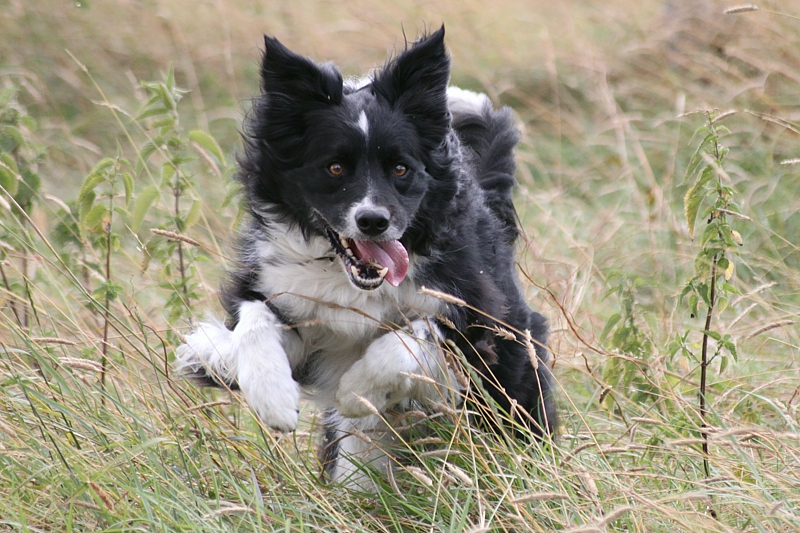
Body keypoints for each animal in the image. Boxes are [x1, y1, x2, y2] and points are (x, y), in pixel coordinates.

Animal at [177, 28, 556, 486]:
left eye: (401, 169)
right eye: (335, 168)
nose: (373, 221)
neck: (350, 278)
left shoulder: (477, 317)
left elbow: (408, 337)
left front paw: (356, 390)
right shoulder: (286, 296)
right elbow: (254, 321)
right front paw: (270, 395)